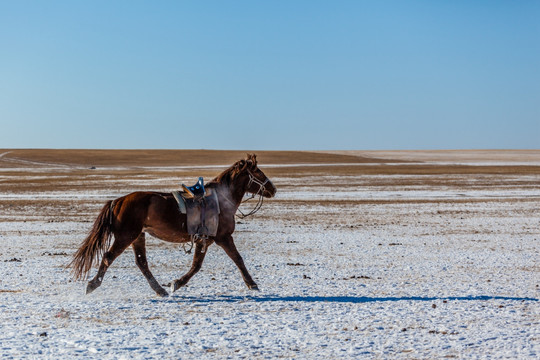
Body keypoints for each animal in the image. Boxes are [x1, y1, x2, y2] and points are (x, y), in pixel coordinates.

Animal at [69, 153, 276, 296]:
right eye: (258, 172)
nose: (273, 189)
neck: (222, 200)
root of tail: (118, 201)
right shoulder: (222, 237)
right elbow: (236, 259)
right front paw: (252, 284)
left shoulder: (204, 240)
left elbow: (197, 265)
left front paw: (175, 284)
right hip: (126, 236)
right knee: (108, 257)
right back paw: (92, 285)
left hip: (138, 236)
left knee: (141, 262)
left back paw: (160, 290)